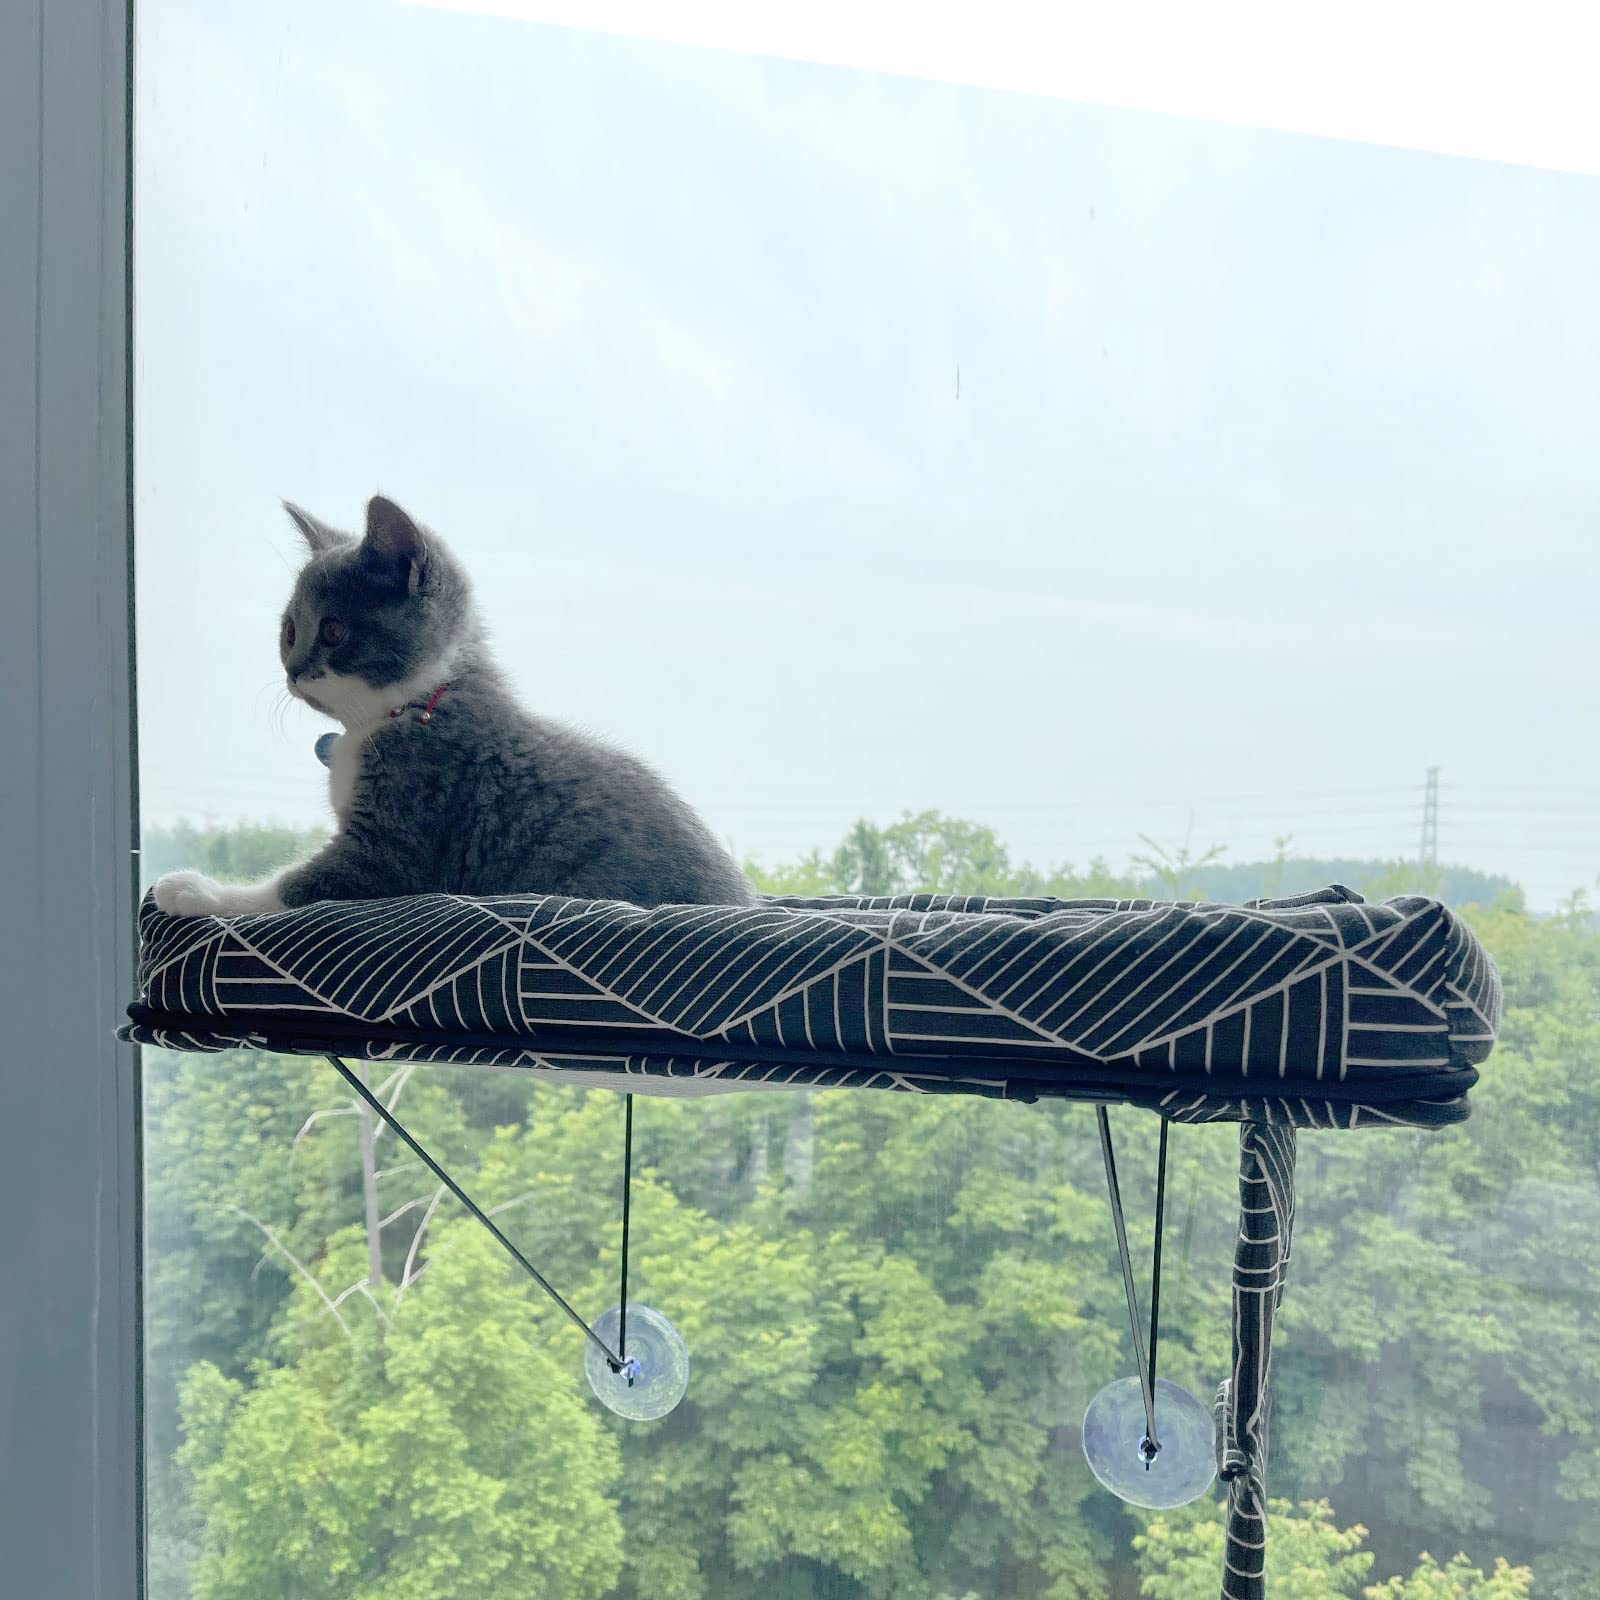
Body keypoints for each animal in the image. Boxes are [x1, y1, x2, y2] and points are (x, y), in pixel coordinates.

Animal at [152, 492, 752, 921]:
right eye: (289, 632)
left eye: (333, 630)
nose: (292, 671)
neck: (406, 710)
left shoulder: (401, 835)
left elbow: (305, 883)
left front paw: (195, 889)